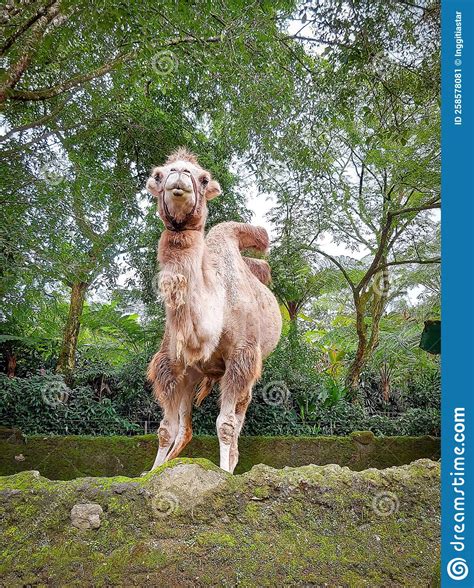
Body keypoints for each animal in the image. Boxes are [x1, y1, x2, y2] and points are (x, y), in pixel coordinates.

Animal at [146, 148, 282, 474]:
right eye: (159, 174)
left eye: (204, 178)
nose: (179, 174)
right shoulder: (171, 364)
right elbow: (166, 428)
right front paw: (151, 472)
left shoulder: (242, 358)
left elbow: (226, 425)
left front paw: (223, 474)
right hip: (196, 374)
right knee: (185, 427)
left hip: (250, 367)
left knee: (239, 417)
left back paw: (230, 466)